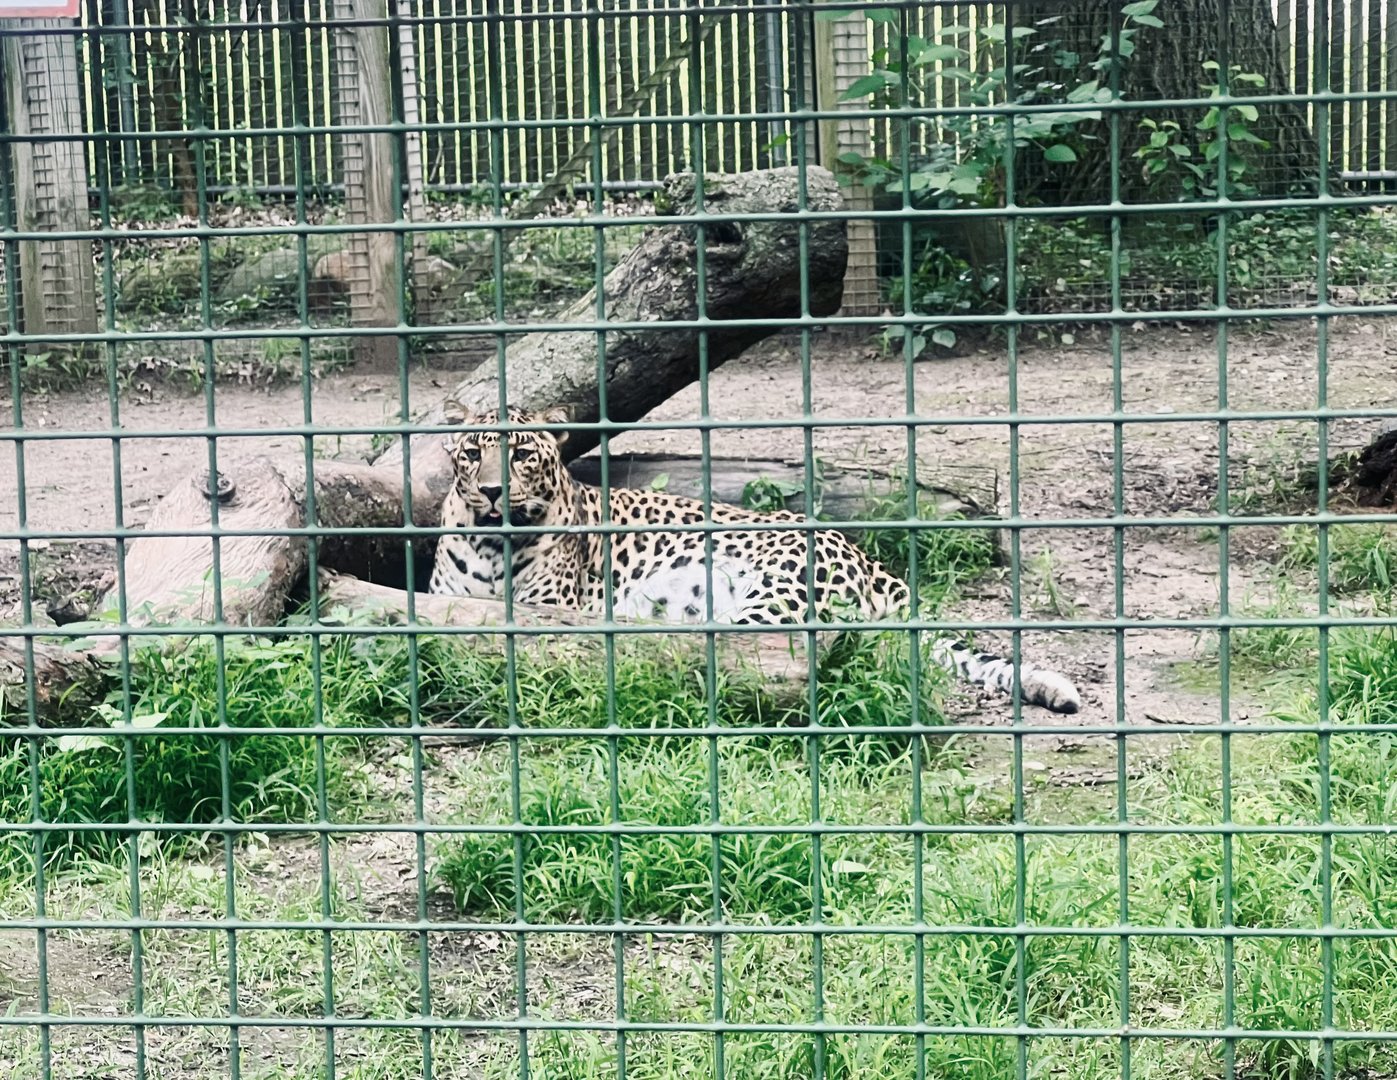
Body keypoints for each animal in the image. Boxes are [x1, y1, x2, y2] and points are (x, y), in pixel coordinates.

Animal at [427, 405, 1081, 714]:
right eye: (471, 454)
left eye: (522, 457)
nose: (492, 491)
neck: (489, 542)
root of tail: (864, 555)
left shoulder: (550, 604)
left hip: (772, 596)